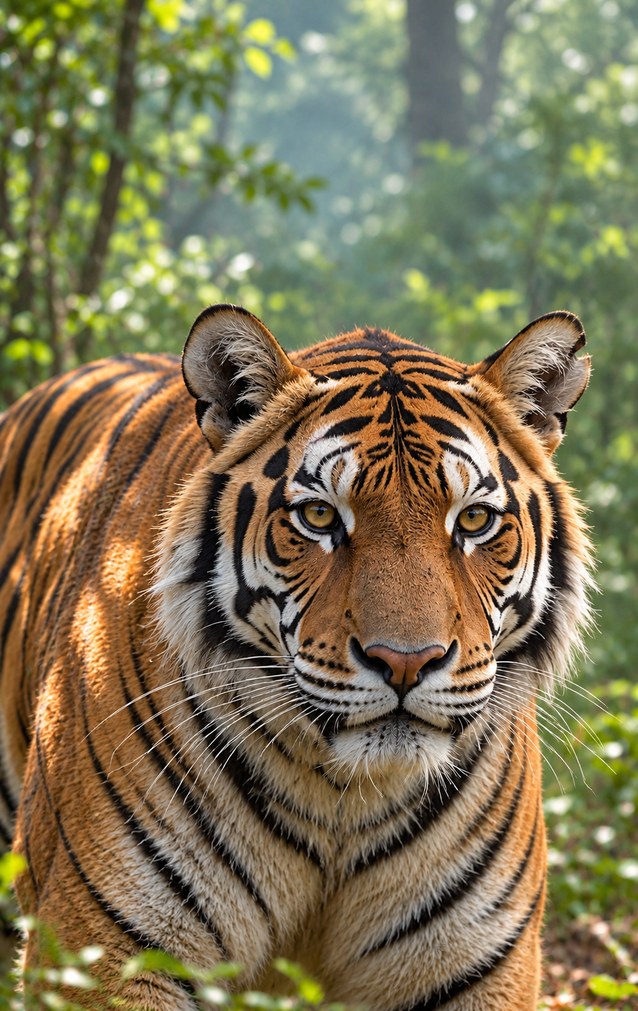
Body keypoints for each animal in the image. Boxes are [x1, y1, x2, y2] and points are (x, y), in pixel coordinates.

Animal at [0, 303, 593, 1010]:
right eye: (318, 517)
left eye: (474, 521)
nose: (405, 662)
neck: (344, 800)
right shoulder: (103, 947)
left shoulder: (479, 962)